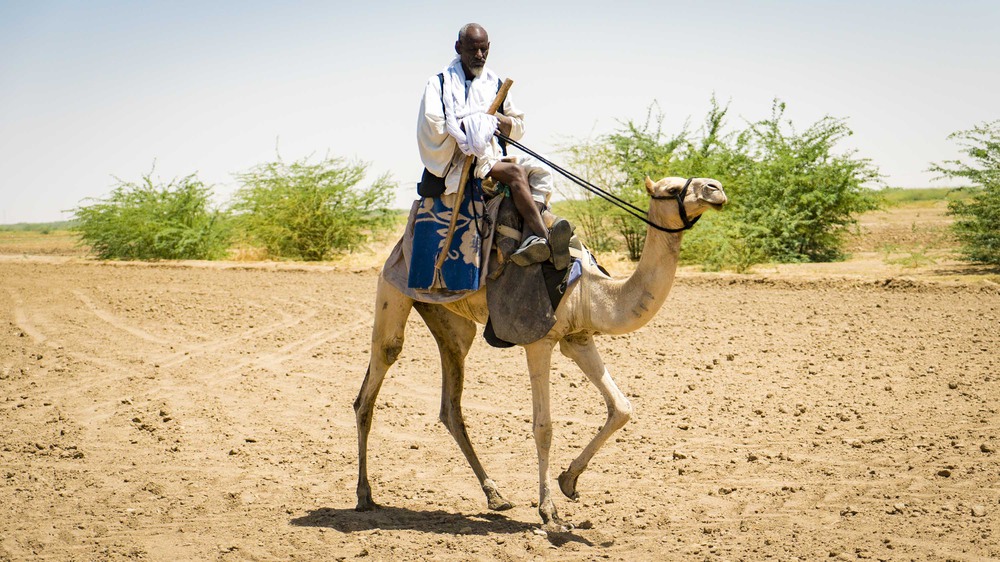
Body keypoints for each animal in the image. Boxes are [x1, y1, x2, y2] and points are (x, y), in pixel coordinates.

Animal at [352, 174, 728, 524]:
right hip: (392, 290)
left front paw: (569, 481)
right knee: (374, 380)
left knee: (450, 404)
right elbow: (544, 426)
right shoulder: (539, 340)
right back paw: (364, 495)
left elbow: (621, 408)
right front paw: (549, 510)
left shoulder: (577, 338)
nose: (716, 188)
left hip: (451, 323)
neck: (590, 292)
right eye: (671, 189)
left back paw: (495, 495)